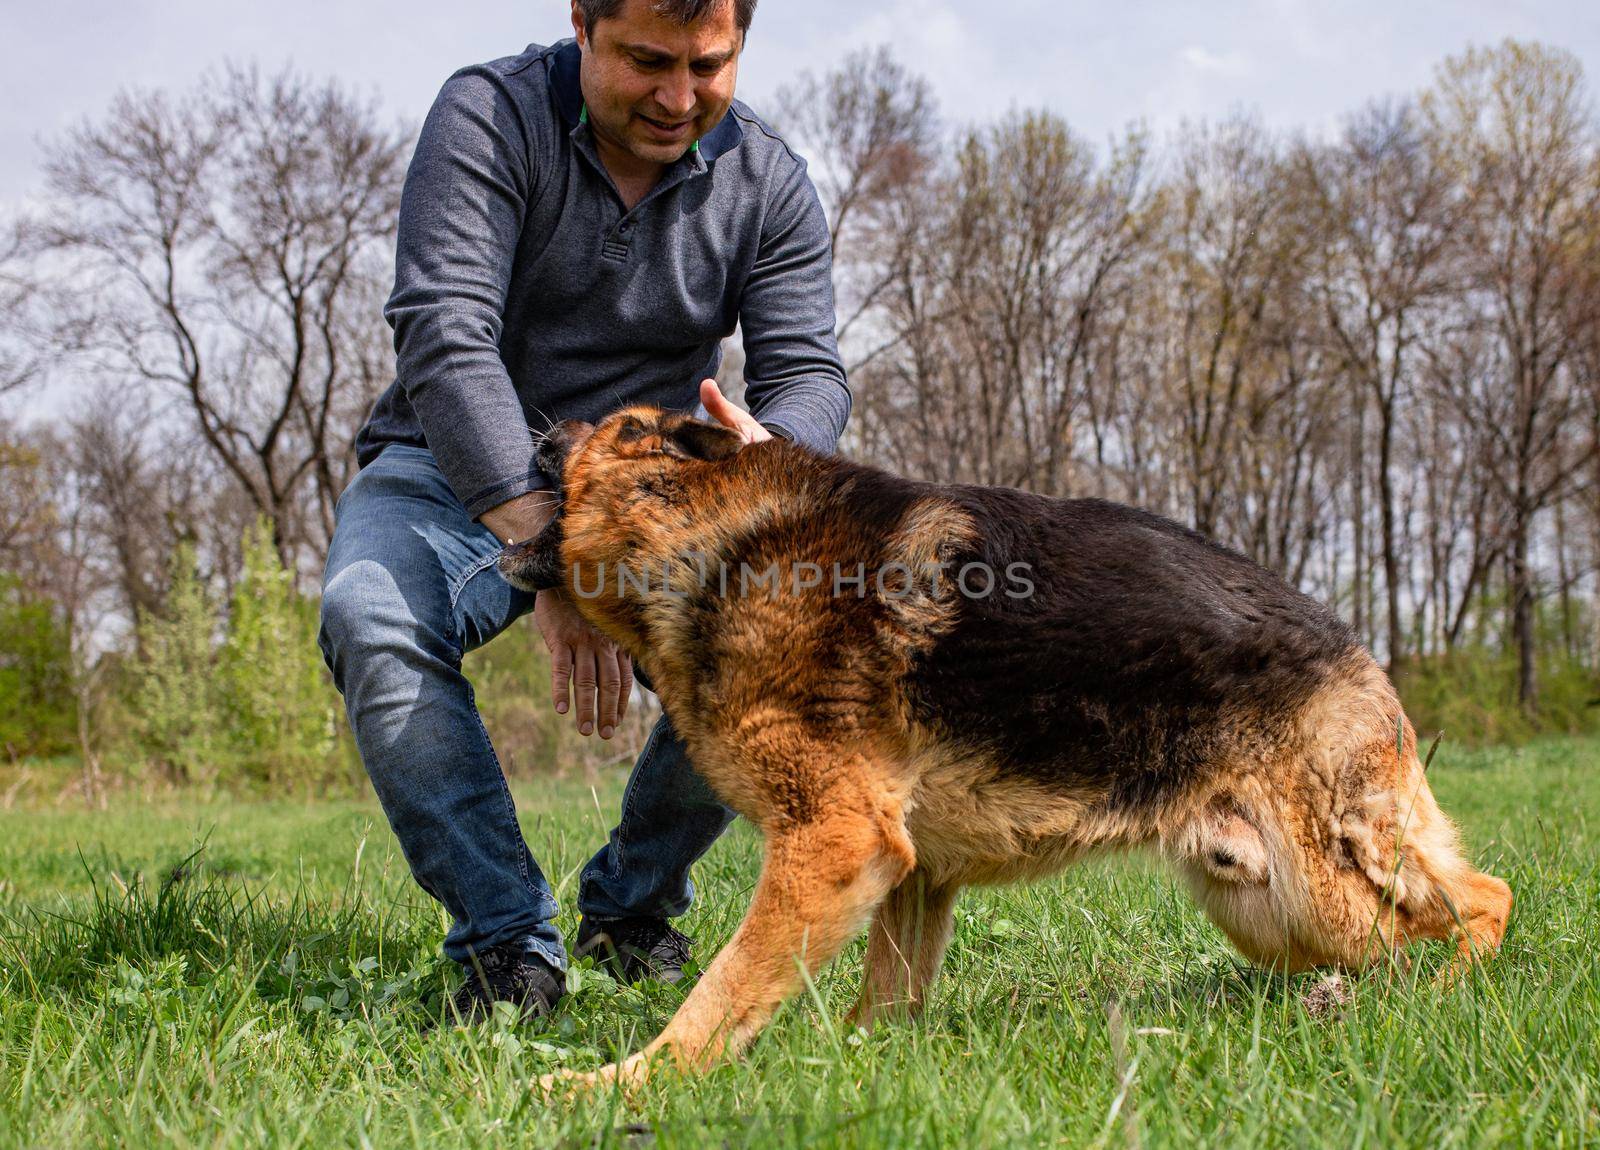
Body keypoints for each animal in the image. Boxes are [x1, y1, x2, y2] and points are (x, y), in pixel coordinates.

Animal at [499, 407, 1510, 1087]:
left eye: (614, 428)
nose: (537, 431)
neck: (723, 539)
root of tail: (1357, 647)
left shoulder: (834, 840)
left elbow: (722, 991)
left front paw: (622, 1085)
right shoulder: (908, 871)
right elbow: (882, 998)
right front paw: (853, 1063)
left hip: (1316, 886)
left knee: (1480, 903)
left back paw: (1435, 998)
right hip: (1265, 907)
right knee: (1435, 916)